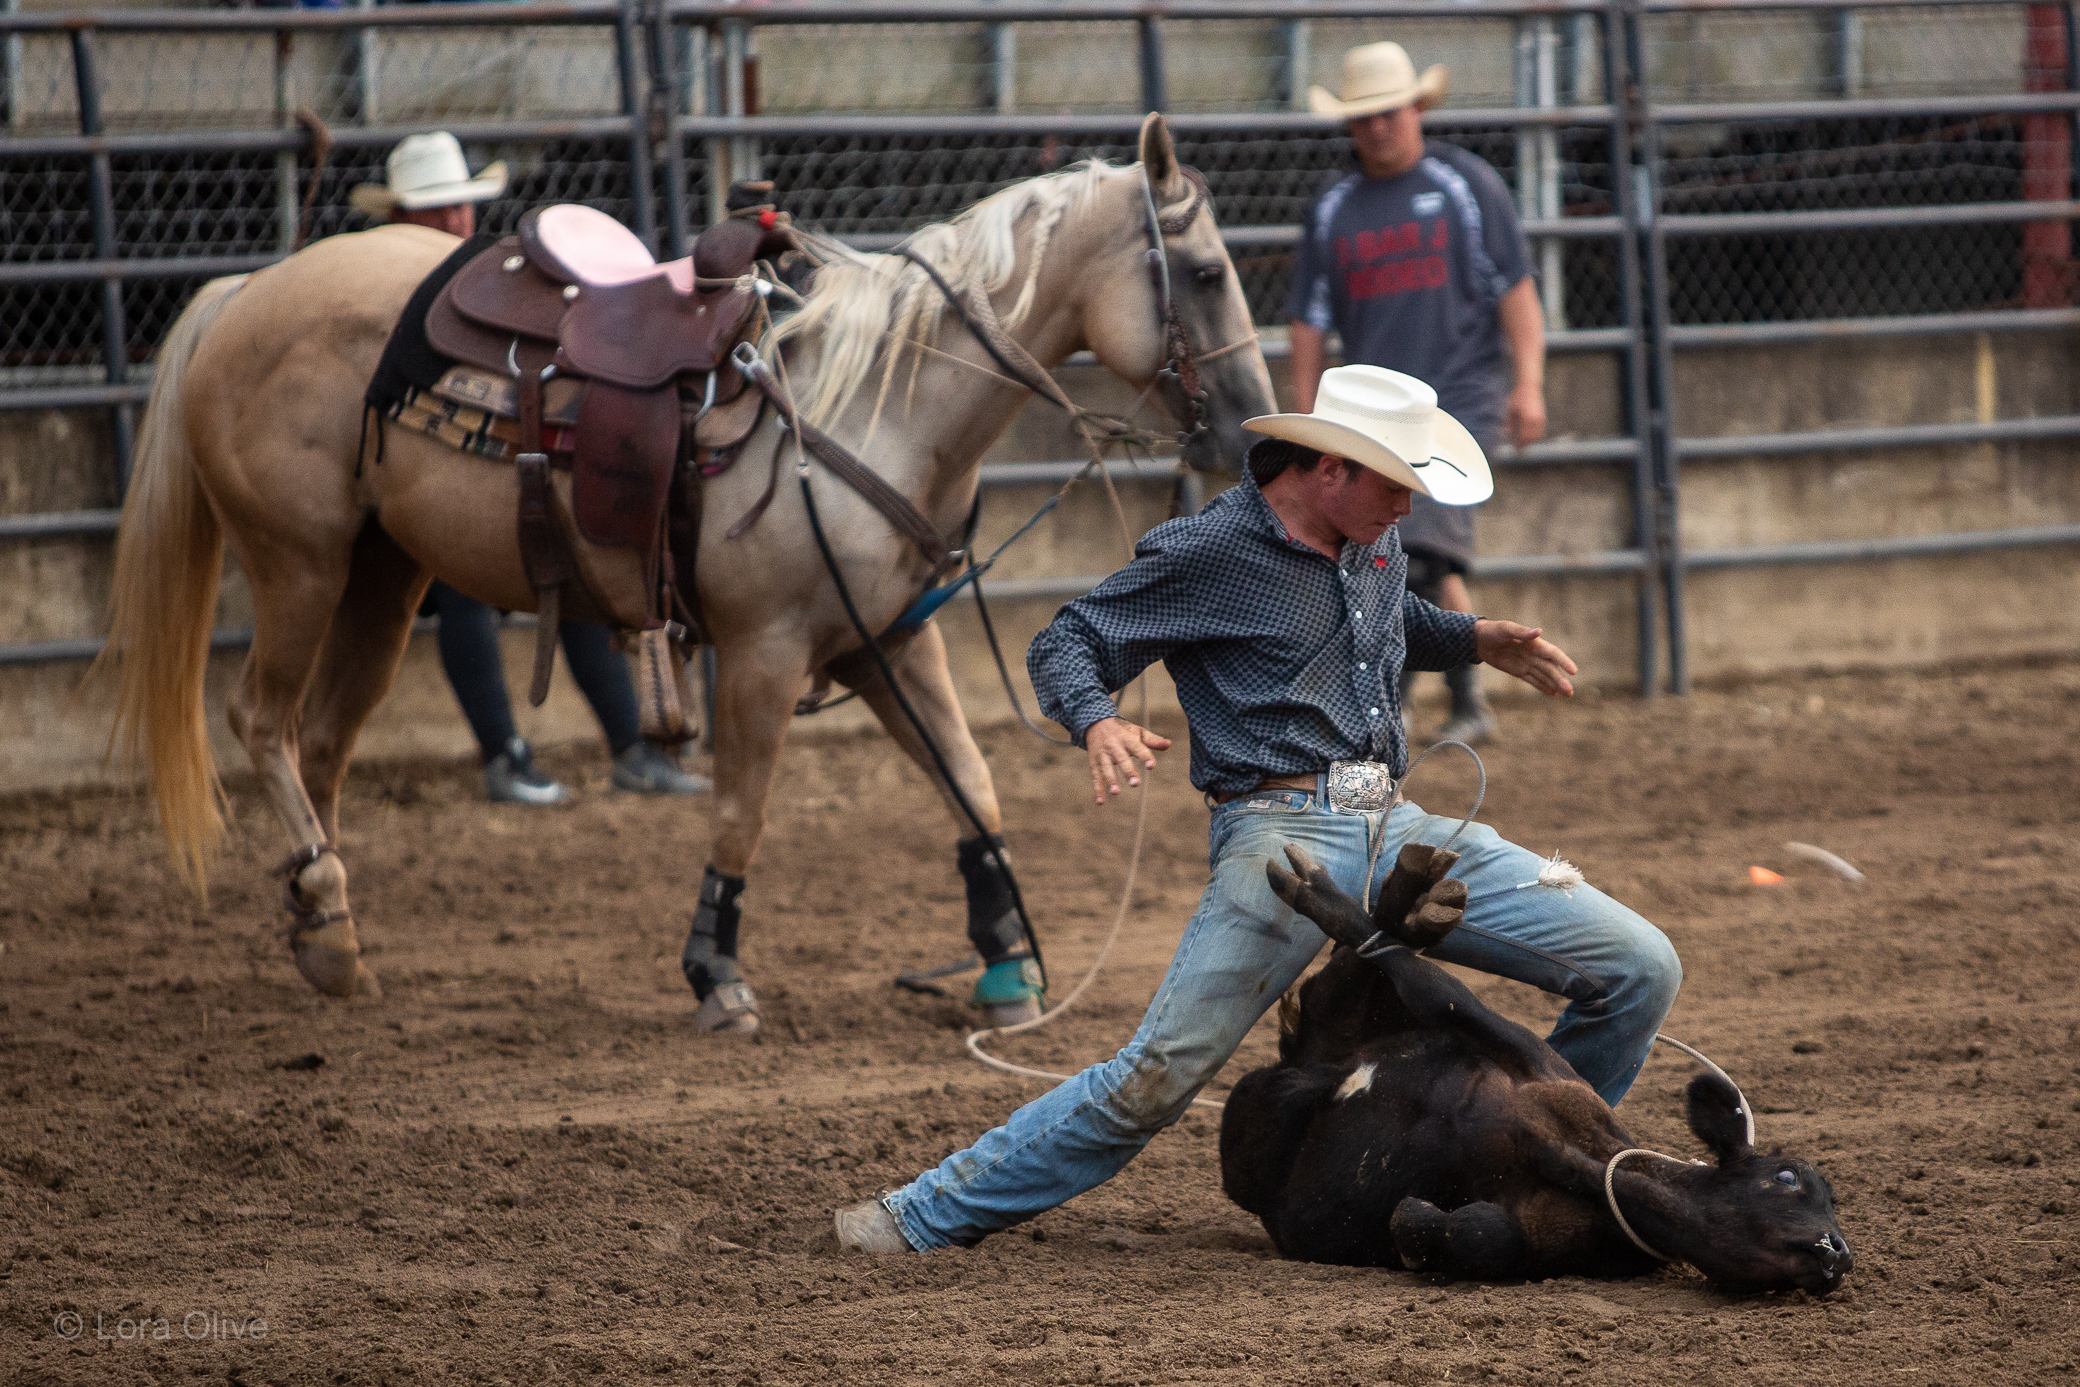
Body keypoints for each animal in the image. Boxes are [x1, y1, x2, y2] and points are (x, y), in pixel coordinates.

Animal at [105, 116, 1272, 1031]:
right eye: (1208, 273)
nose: (1248, 430)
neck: (874, 407)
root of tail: (246, 290)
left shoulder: (892, 639)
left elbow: (971, 784)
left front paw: (1005, 962)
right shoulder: (765, 653)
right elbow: (740, 813)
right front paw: (717, 973)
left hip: (383, 578)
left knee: (322, 742)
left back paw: (328, 931)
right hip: (298, 563)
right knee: (261, 723)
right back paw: (324, 897)